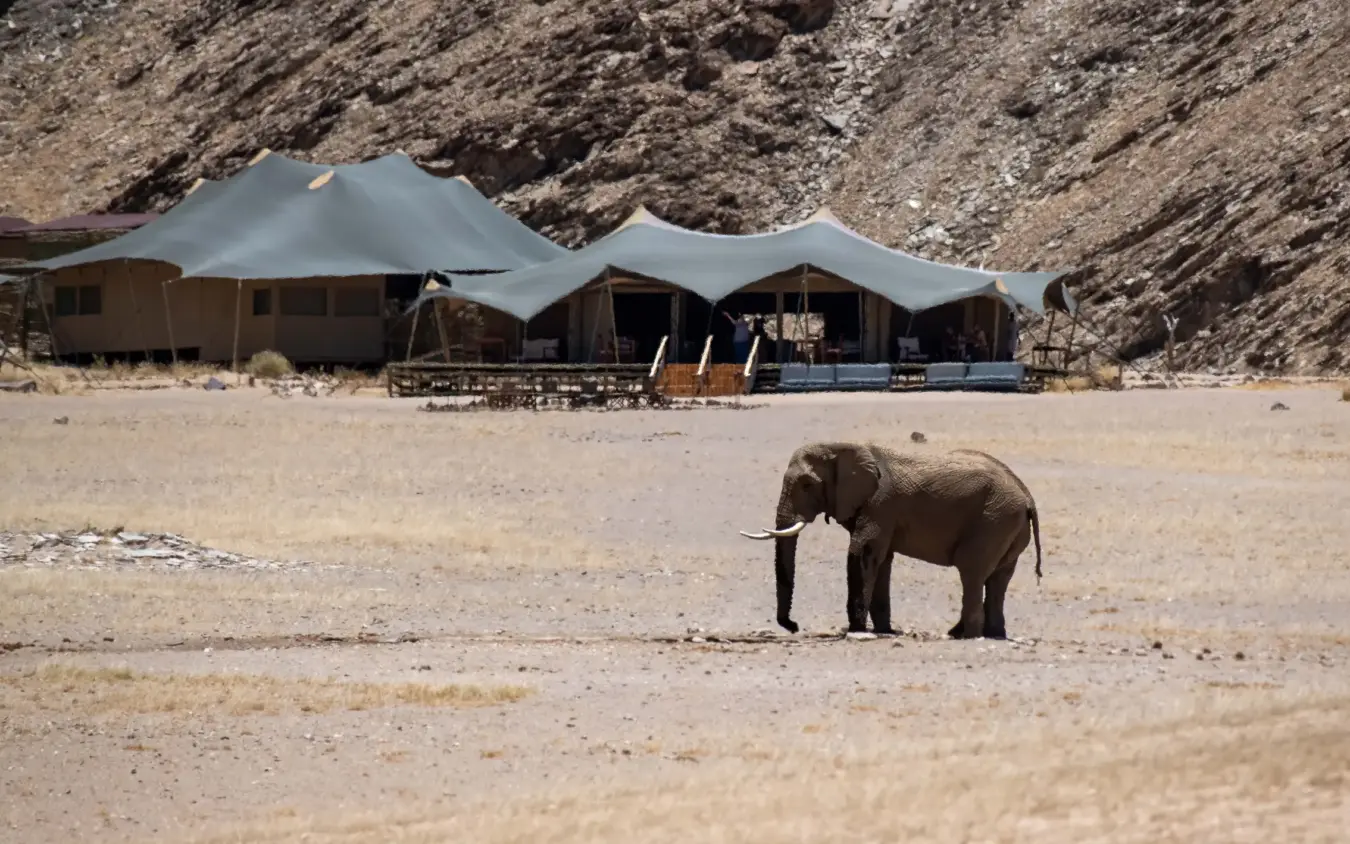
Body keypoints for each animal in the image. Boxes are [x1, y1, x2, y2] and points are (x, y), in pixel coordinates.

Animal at [739, 441, 1042, 640]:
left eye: (806, 485)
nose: (794, 626)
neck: (842, 447)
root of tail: (1027, 496)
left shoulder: (880, 504)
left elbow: (861, 553)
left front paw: (857, 631)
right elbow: (881, 560)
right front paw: (884, 630)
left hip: (994, 519)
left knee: (972, 572)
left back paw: (965, 635)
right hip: (1006, 524)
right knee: (998, 578)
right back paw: (989, 634)